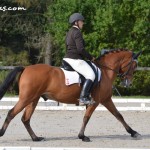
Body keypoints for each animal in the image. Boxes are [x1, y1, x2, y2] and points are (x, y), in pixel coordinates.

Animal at [0, 49, 142, 142]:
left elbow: (118, 115)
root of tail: (26, 68)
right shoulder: (96, 101)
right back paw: (2, 134)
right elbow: (86, 118)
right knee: (11, 113)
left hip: (33, 100)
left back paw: (36, 138)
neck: (105, 71)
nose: (128, 83)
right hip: (26, 98)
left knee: (25, 118)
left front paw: (133, 132)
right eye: (134, 65)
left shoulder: (106, 100)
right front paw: (82, 136)